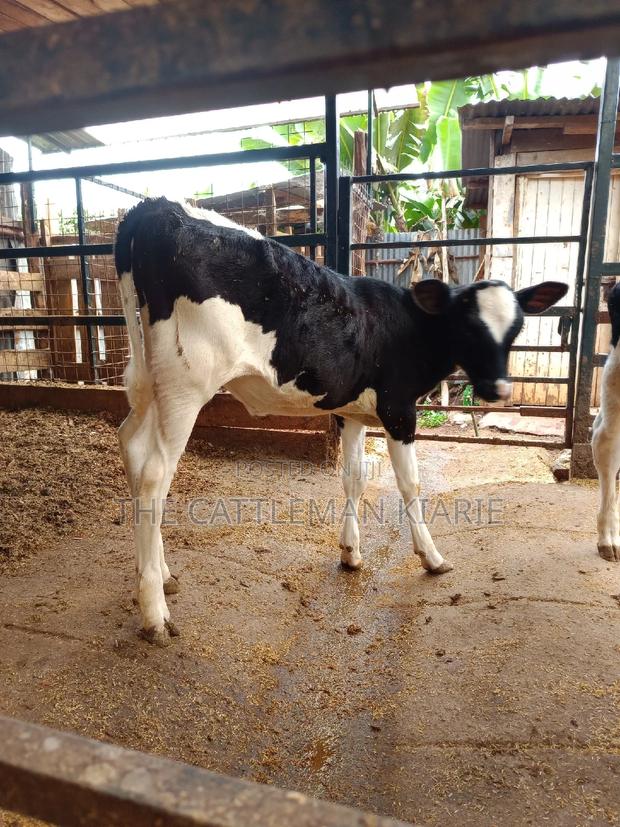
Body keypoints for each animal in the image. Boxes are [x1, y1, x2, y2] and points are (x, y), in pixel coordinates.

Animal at [114, 197, 567, 645]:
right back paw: (155, 613)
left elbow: (355, 477)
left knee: (131, 446)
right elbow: (411, 484)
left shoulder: (351, 412)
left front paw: (351, 553)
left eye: (516, 328)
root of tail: (154, 207)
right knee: (155, 476)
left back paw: (161, 575)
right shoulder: (399, 410)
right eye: (468, 327)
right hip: (185, 385)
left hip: (152, 383)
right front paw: (432, 557)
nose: (499, 389)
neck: (407, 324)